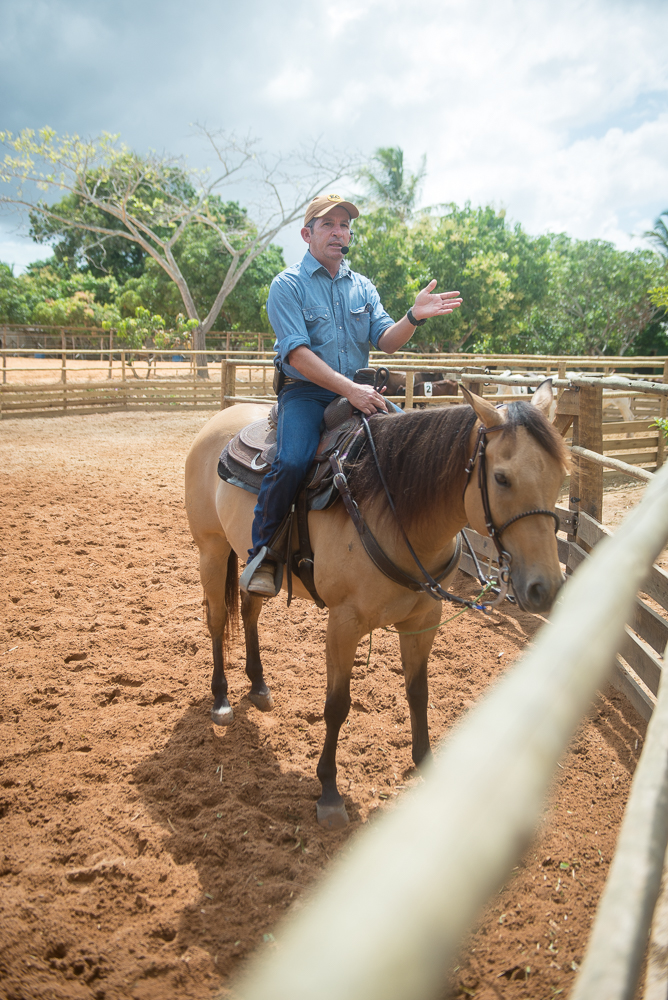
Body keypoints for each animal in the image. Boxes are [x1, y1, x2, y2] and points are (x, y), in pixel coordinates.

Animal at [184, 380, 568, 828]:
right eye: (502, 478)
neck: (395, 510)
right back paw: (222, 699)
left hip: (249, 558)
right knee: (216, 619)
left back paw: (259, 685)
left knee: (248, 610)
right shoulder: (343, 623)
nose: (546, 587)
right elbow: (337, 706)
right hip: (211, 549)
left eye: (561, 475)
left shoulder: (424, 619)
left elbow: (418, 692)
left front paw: (425, 764)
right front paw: (329, 792)